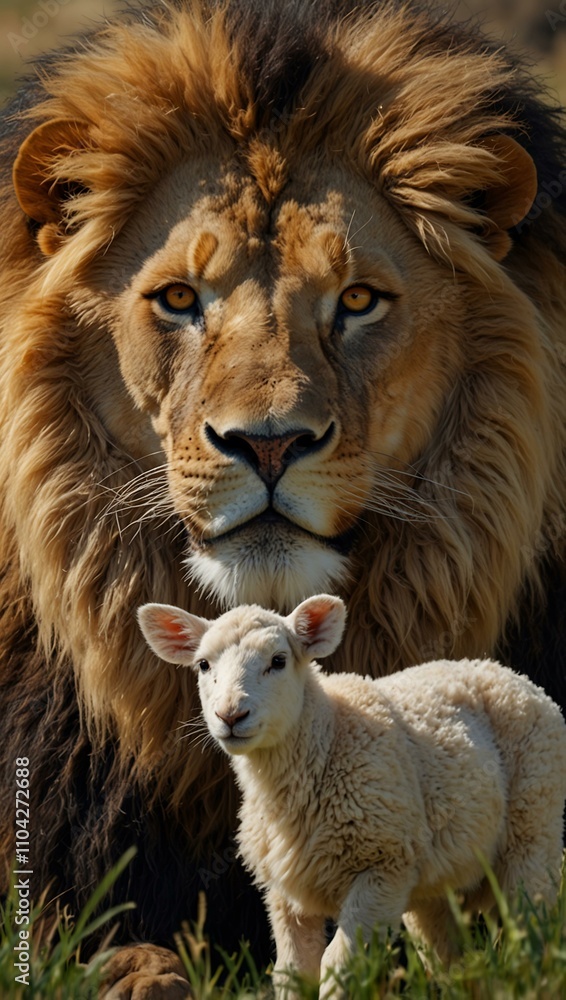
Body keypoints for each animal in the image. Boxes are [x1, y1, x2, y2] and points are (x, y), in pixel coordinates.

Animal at [138, 594, 566, 998]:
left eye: (278, 660)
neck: (326, 742)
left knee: (531, 925)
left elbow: (337, 964)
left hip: (534, 820)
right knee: (449, 954)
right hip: (434, 875)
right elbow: (292, 973)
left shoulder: (381, 868)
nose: (230, 715)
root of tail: (507, 672)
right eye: (203, 665)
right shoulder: (286, 894)